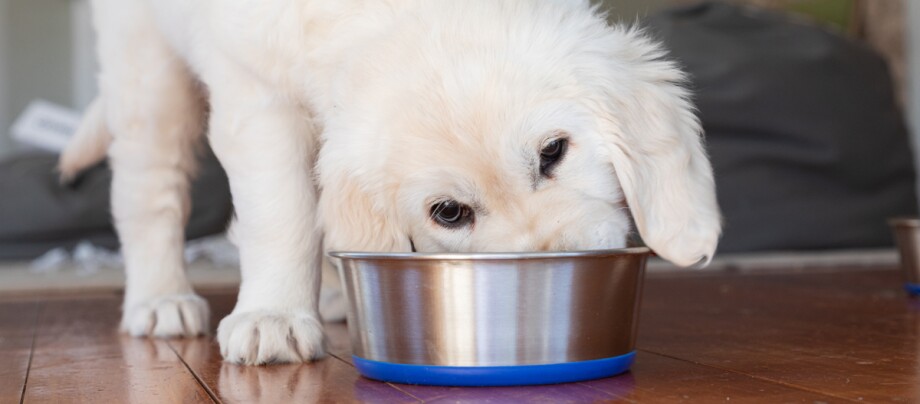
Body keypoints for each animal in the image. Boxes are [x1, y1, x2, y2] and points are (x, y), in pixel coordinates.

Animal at [59, 0, 720, 366]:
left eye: (553, 152)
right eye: (449, 213)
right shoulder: (257, 97)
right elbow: (281, 214)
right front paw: (272, 314)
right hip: (146, 72)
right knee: (150, 191)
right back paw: (159, 299)